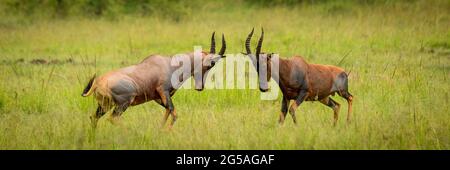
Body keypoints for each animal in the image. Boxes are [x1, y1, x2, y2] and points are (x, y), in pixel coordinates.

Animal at [81, 31, 227, 128]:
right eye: (211, 64)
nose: (200, 87)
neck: (168, 64)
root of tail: (97, 82)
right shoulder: (163, 91)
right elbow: (174, 113)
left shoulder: (158, 97)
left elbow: (169, 111)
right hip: (123, 103)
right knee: (112, 119)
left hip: (104, 105)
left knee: (93, 118)